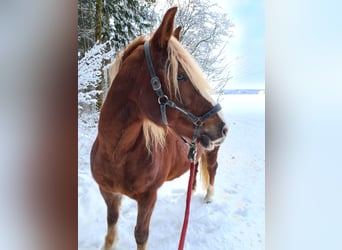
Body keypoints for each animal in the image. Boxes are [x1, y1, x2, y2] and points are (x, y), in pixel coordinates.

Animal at [91, 7, 227, 250]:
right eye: (180, 76)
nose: (222, 127)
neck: (117, 153)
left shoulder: (148, 197)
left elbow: (140, 234)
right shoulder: (108, 193)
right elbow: (111, 228)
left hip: (212, 152)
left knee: (212, 169)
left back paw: (209, 196)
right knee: (195, 169)